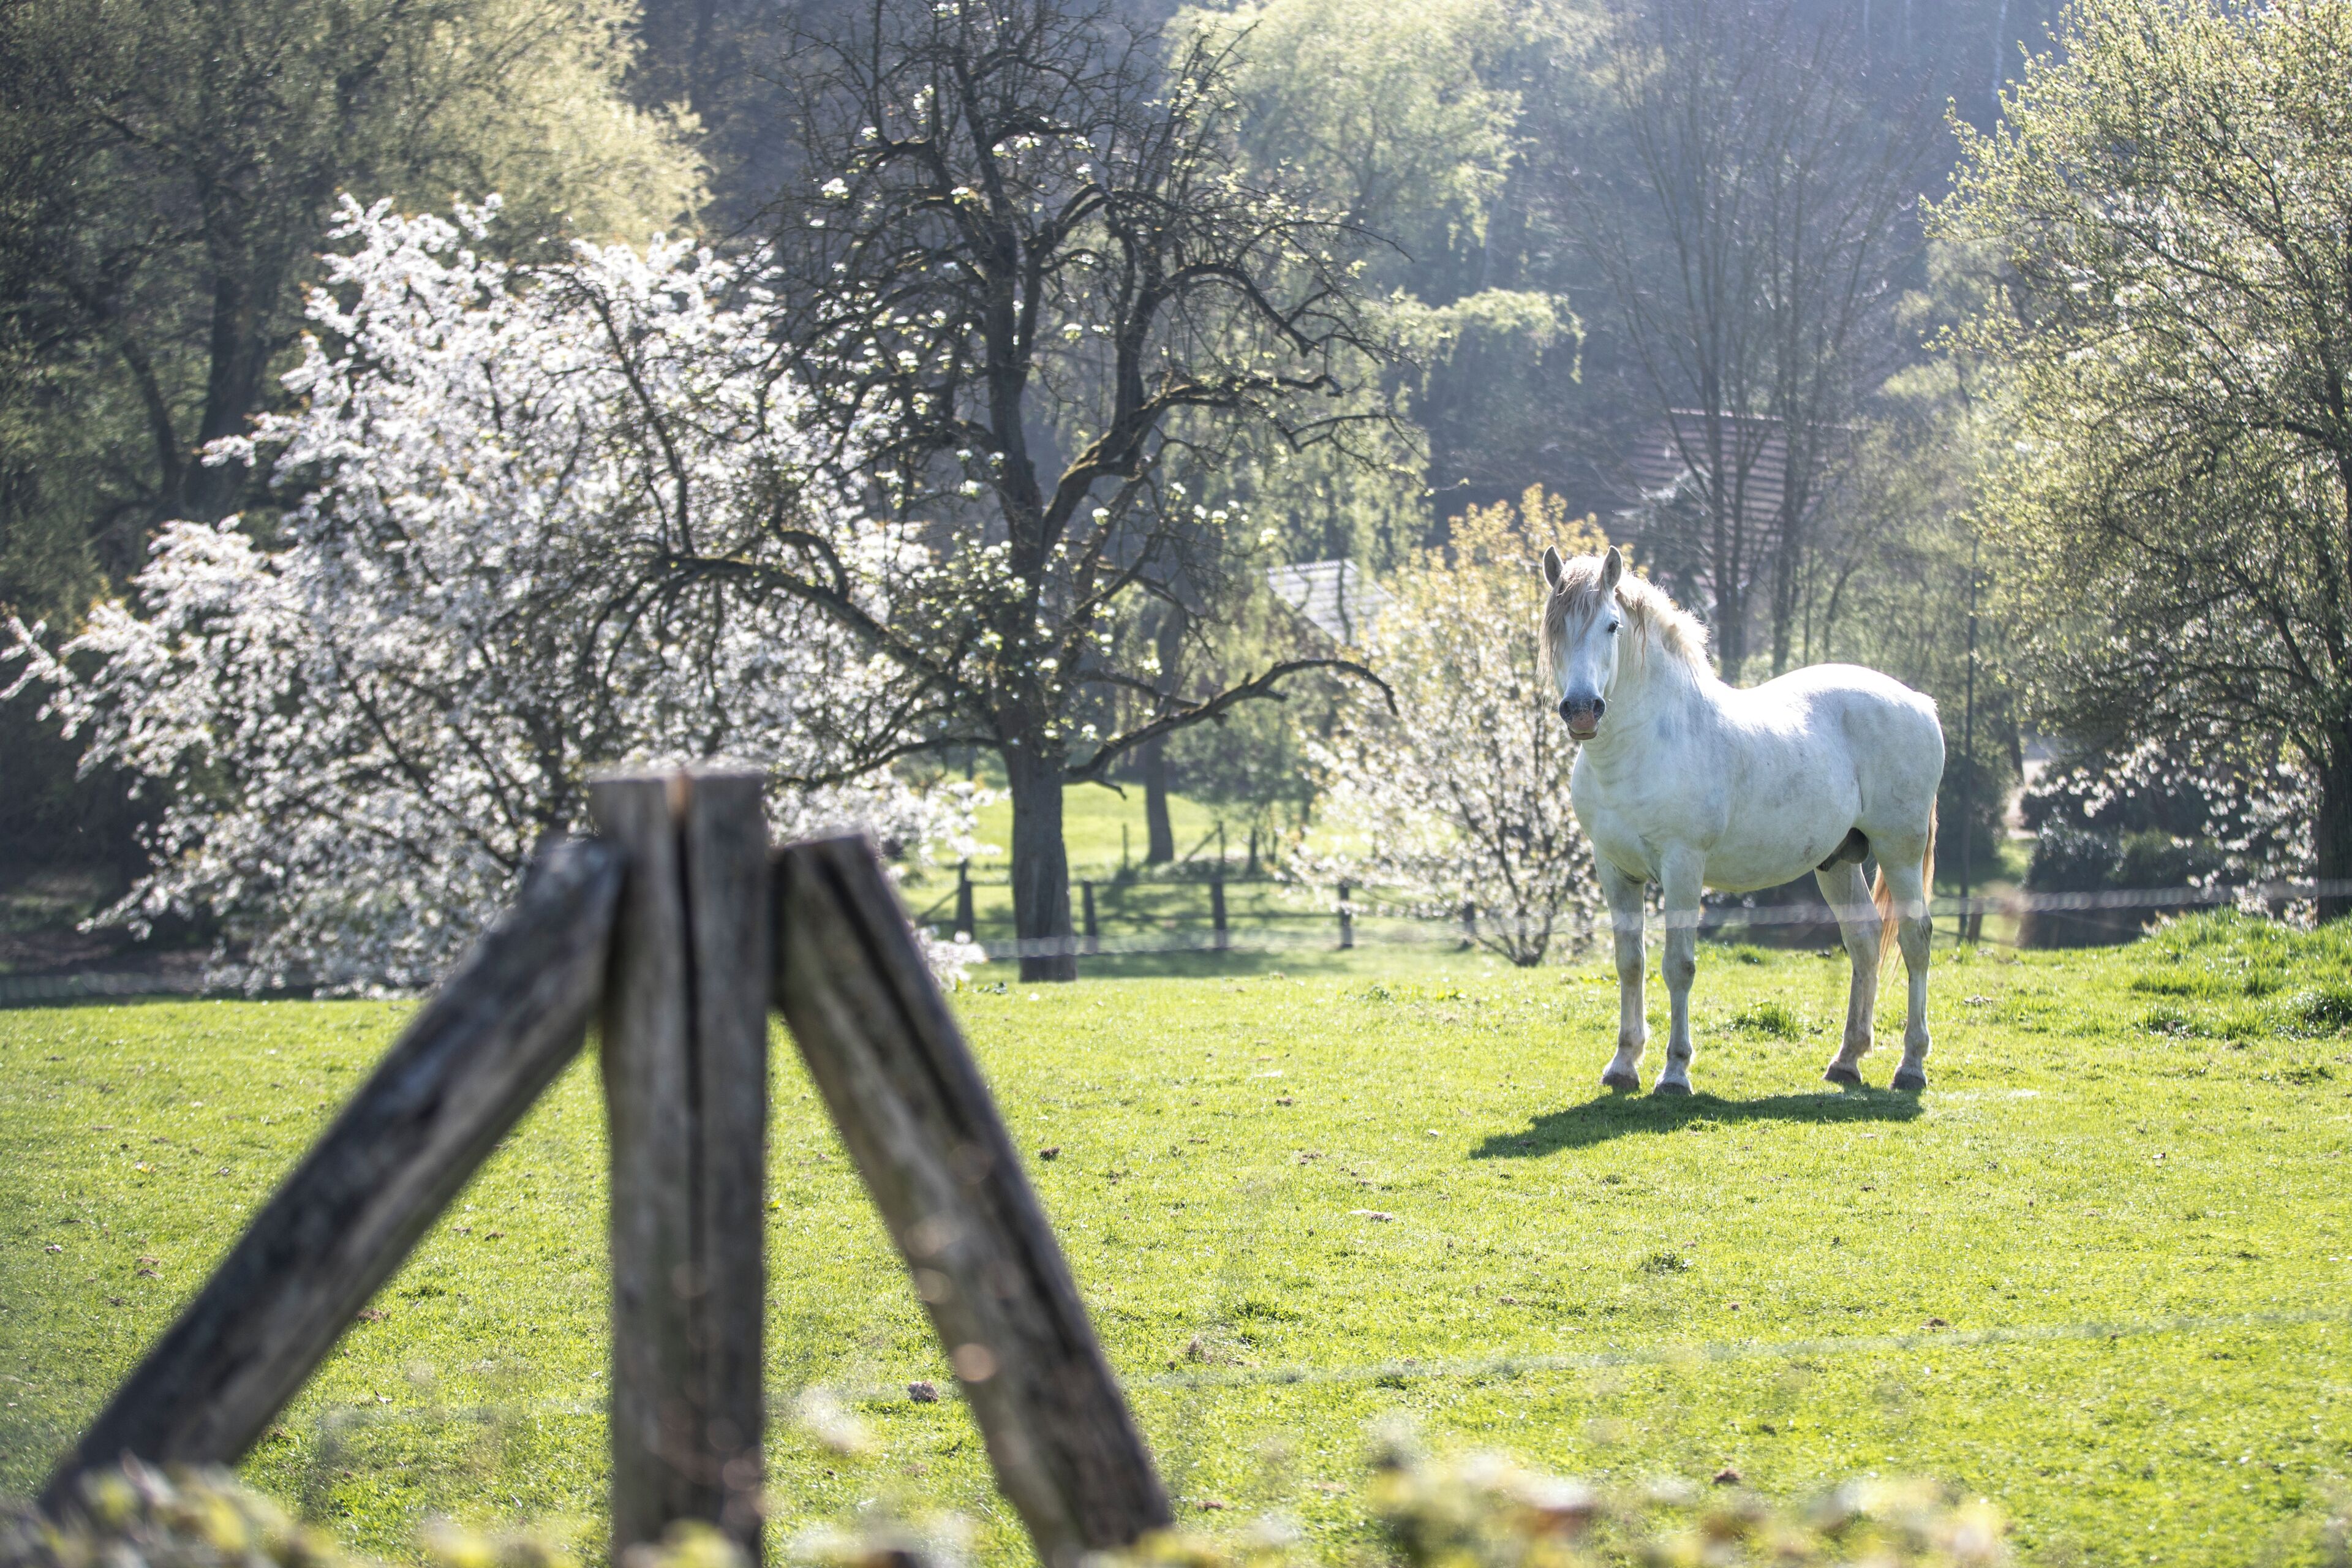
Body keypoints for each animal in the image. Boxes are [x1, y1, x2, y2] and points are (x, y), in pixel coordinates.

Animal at [1539, 545, 1944, 1095]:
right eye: (1556, 627)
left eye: (1611, 625)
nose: (1582, 710)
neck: (1646, 743)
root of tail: (1920, 703)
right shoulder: (1615, 870)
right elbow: (1631, 964)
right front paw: (1623, 1064)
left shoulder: (1682, 868)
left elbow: (1678, 965)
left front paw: (1675, 1071)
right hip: (1838, 862)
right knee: (1863, 942)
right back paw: (1847, 1060)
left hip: (1899, 852)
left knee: (1915, 939)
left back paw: (1911, 1066)